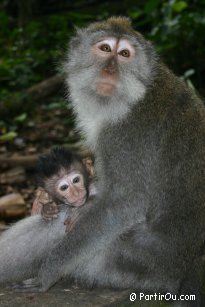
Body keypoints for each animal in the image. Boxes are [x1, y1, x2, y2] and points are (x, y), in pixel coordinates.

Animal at [0, 18, 205, 306]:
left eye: (125, 54)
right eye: (105, 48)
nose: (110, 70)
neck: (136, 94)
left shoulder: (127, 133)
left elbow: (123, 204)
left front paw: (47, 274)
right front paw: (42, 201)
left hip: (131, 264)